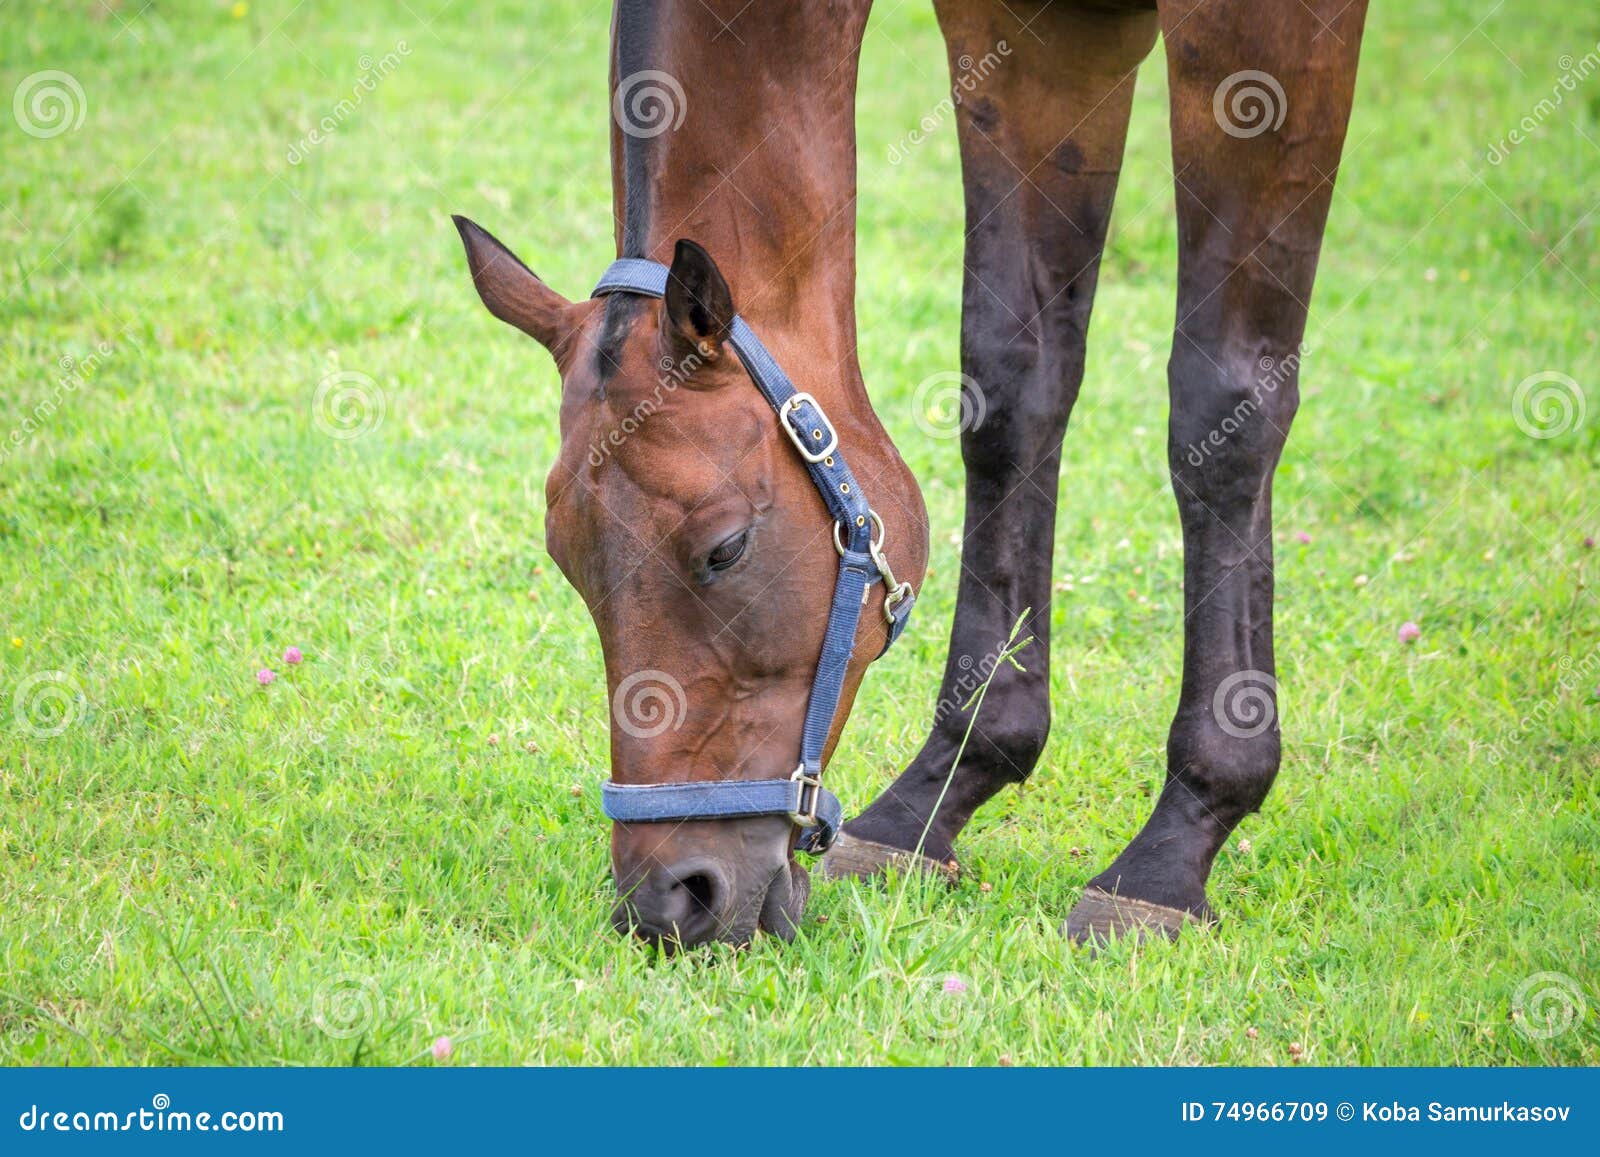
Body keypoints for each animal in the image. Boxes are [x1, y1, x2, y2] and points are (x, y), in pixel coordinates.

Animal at [453, 0, 1368, 949]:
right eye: (566, 562)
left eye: (726, 548)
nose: (671, 900)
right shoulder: (1032, 42)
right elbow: (1010, 384)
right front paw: (938, 798)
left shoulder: (1259, 39)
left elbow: (1225, 410)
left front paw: (1176, 845)